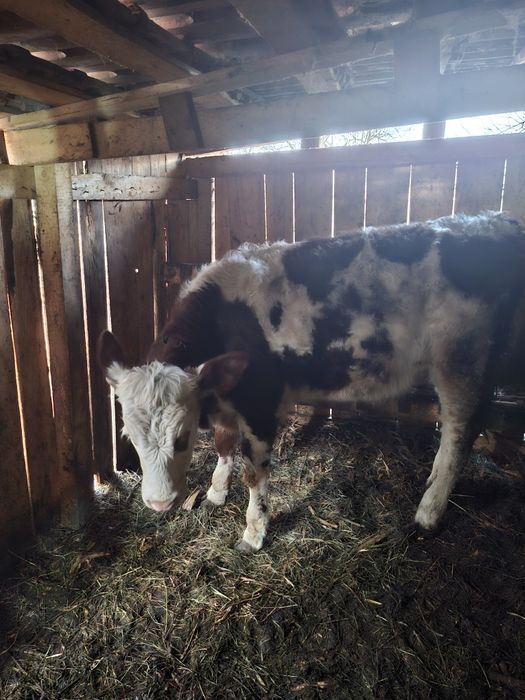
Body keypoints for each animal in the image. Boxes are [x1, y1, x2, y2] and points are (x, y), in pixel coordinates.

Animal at [98, 212, 525, 552]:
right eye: (129, 437)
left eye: (183, 438)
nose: (158, 504)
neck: (224, 317)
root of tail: (495, 220)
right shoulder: (221, 393)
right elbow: (223, 444)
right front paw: (216, 494)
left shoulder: (260, 400)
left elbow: (254, 472)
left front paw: (253, 534)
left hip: (461, 359)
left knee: (458, 434)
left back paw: (427, 514)